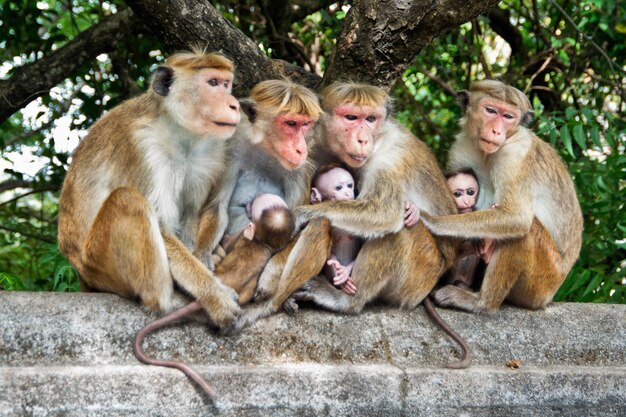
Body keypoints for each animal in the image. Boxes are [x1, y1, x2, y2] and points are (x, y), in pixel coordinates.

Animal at [57, 49, 241, 328]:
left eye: (226, 84)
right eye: (212, 83)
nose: (234, 104)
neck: (178, 132)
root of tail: (80, 272)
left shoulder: (215, 149)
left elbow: (201, 209)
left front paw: (205, 258)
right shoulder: (140, 148)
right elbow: (162, 226)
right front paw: (214, 295)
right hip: (98, 266)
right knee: (127, 199)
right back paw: (168, 304)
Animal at [416, 79, 584, 312]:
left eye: (508, 116)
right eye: (491, 110)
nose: (496, 131)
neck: (488, 154)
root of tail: (549, 297)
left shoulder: (514, 154)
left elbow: (516, 217)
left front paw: (431, 221)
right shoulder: (462, 147)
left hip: (540, 284)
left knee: (525, 231)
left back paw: (481, 302)